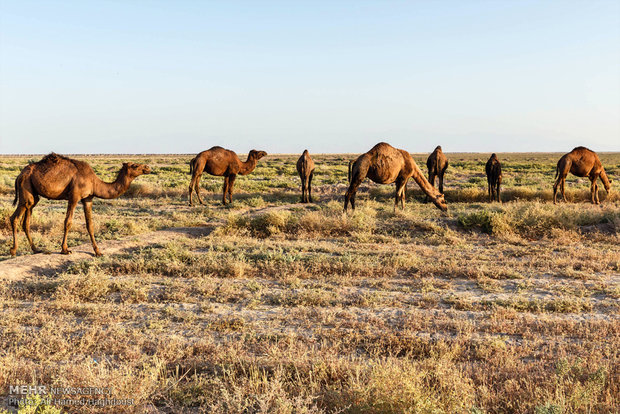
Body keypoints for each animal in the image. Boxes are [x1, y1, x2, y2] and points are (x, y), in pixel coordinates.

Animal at [10, 152, 151, 256]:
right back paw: (14, 250)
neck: (94, 182)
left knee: (26, 221)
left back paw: (36, 249)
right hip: (26, 188)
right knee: (15, 217)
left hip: (33, 194)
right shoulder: (74, 196)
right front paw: (65, 249)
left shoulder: (88, 198)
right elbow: (68, 222)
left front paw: (98, 252)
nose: (148, 168)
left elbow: (90, 225)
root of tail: (20, 174)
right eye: (135, 166)